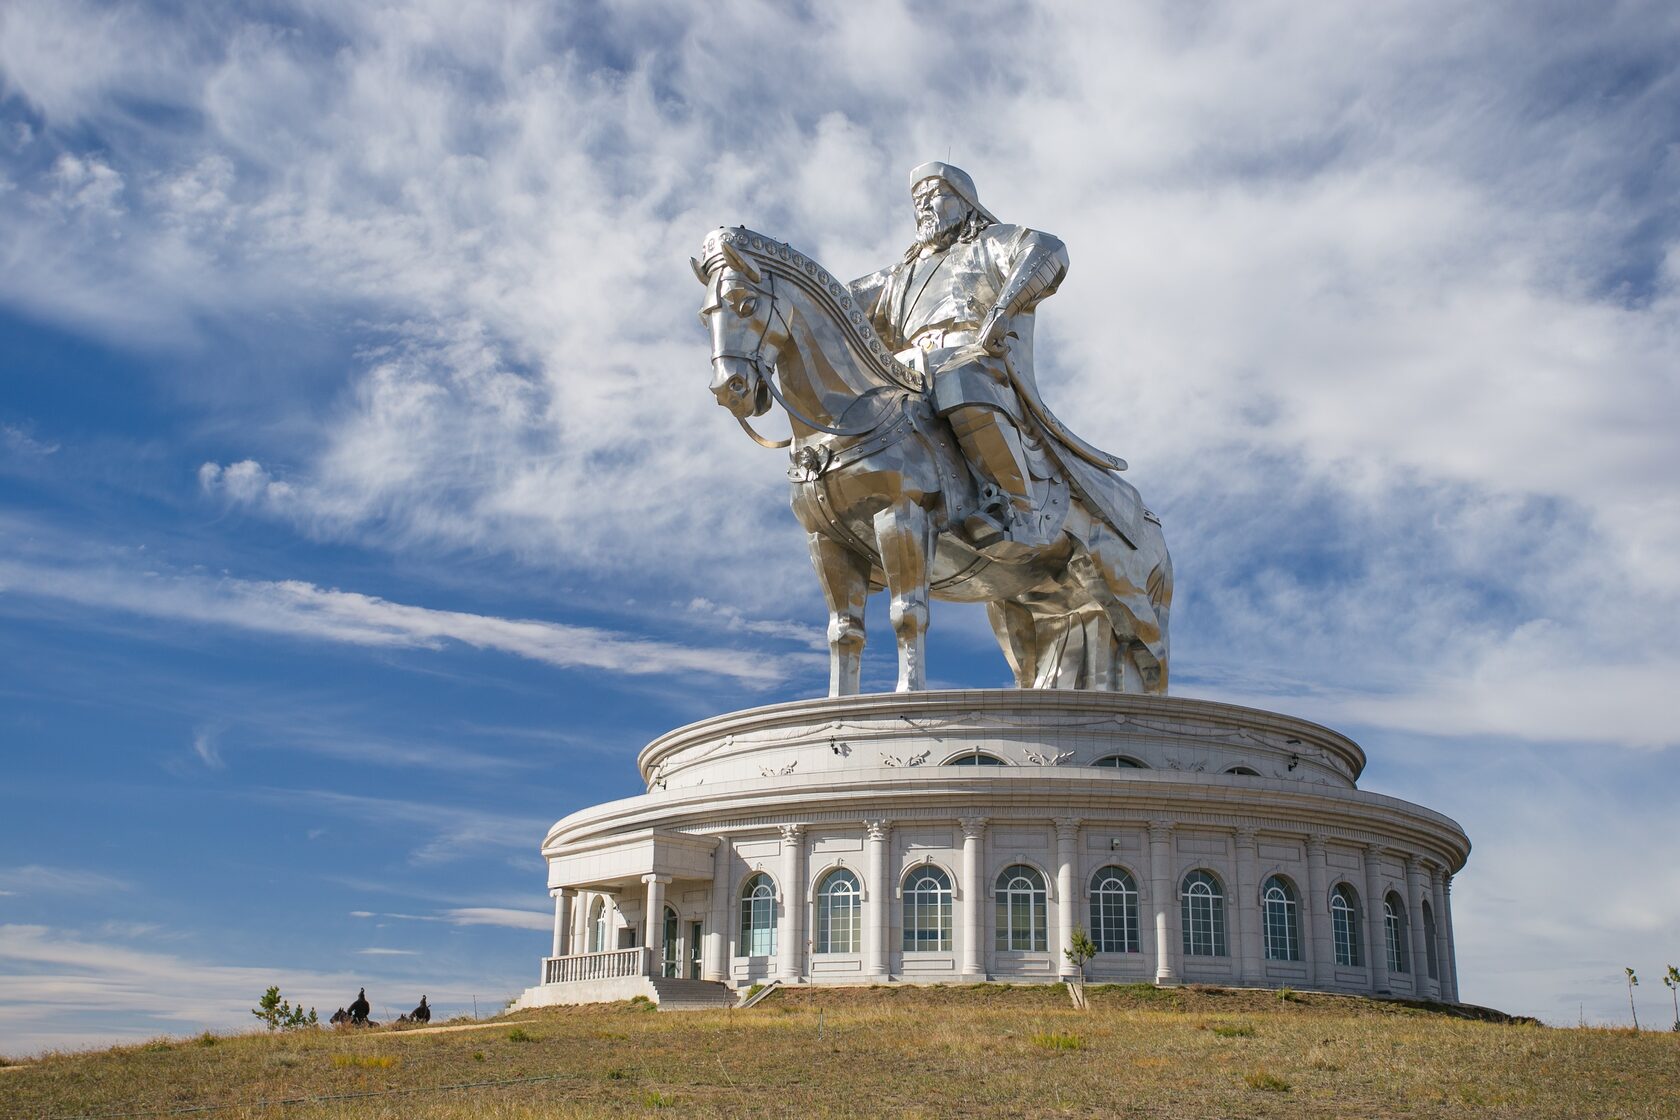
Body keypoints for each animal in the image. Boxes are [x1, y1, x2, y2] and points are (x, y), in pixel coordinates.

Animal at [695, 226, 1169, 695]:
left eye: (745, 302)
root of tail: (1150, 519)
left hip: (1127, 594)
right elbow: (844, 630)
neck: (848, 417)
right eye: (705, 316)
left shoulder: (902, 516)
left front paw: (908, 692)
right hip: (1032, 604)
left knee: (1155, 661)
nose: (729, 389)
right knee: (1041, 659)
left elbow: (908, 613)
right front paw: (837, 702)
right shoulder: (825, 541)